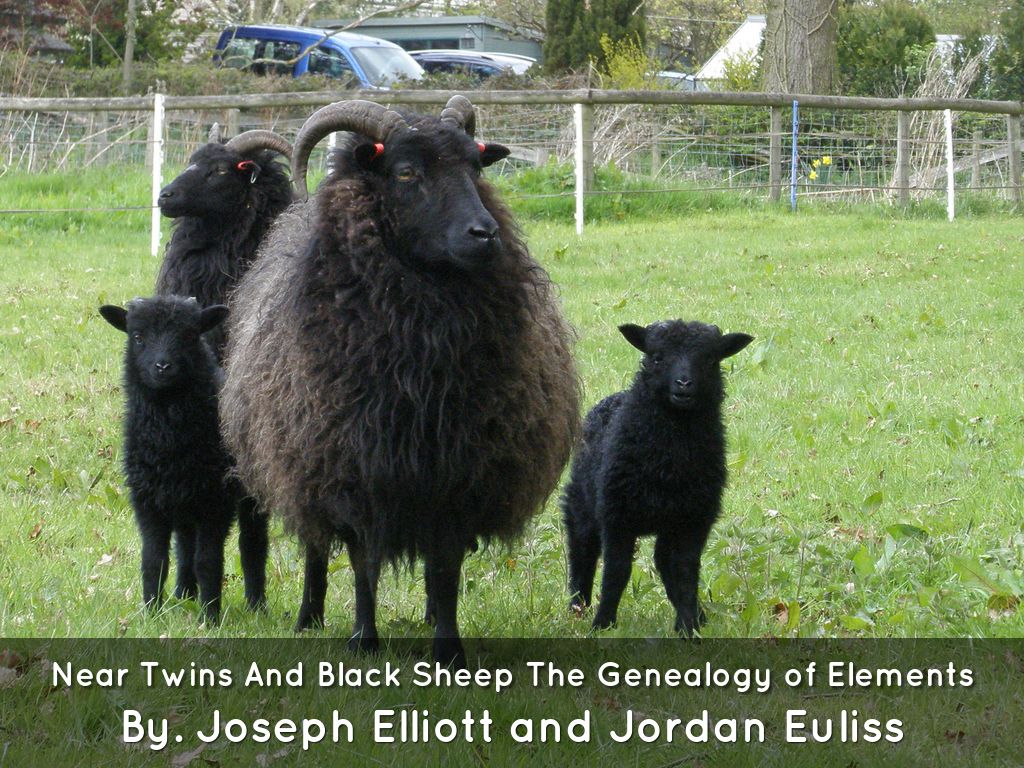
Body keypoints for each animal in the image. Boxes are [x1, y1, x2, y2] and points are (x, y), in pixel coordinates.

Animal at [99, 295, 267, 623]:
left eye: (190, 336)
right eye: (137, 337)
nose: (163, 366)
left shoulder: (215, 502)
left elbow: (208, 561)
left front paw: (210, 618)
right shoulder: (147, 501)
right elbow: (154, 559)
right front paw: (151, 613)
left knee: (252, 544)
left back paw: (256, 604)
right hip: (183, 498)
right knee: (185, 545)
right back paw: (184, 593)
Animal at [219, 96, 581, 666]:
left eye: (476, 168)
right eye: (407, 172)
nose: (486, 234)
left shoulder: (460, 472)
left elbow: (446, 567)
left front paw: (448, 649)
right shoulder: (351, 469)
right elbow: (363, 565)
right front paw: (364, 641)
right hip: (297, 461)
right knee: (316, 548)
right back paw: (308, 617)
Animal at [562, 320, 753, 635]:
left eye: (710, 359)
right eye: (657, 357)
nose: (684, 384)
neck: (669, 460)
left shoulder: (692, 520)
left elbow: (685, 572)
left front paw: (688, 625)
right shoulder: (617, 516)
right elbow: (616, 570)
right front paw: (603, 623)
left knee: (664, 563)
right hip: (582, 503)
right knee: (582, 550)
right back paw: (578, 606)